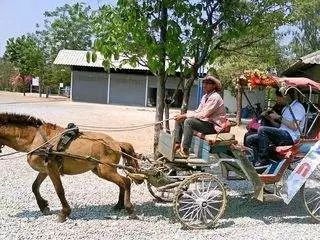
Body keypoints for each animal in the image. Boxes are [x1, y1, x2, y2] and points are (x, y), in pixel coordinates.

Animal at [0, 113, 140, 222]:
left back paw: (129, 209)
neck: (35, 138)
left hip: (106, 170)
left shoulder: (52, 168)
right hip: (101, 171)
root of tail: (115, 143)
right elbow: (35, 186)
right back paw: (119, 205)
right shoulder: (45, 170)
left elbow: (59, 190)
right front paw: (44, 206)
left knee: (126, 182)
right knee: (122, 183)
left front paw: (64, 213)